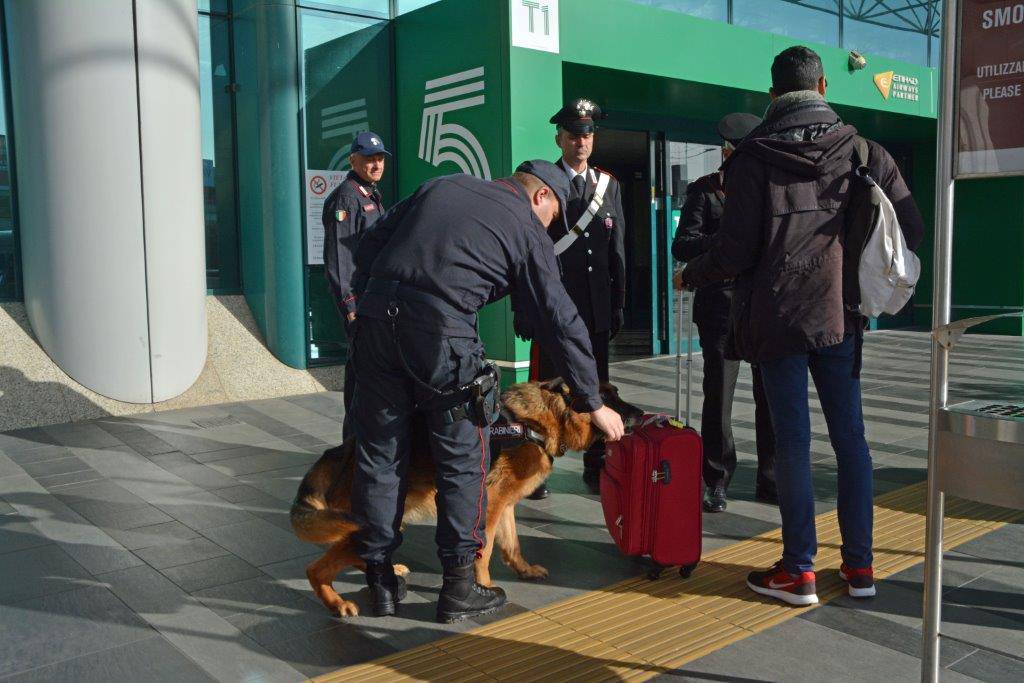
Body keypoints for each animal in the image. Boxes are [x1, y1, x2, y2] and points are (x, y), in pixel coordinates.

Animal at [292, 382, 638, 618]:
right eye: (609, 399)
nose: (642, 413)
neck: (542, 420)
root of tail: (342, 450)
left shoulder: (505, 505)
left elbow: (512, 545)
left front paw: (524, 570)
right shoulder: (490, 506)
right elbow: (484, 552)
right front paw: (483, 587)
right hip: (371, 523)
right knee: (316, 569)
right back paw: (338, 603)